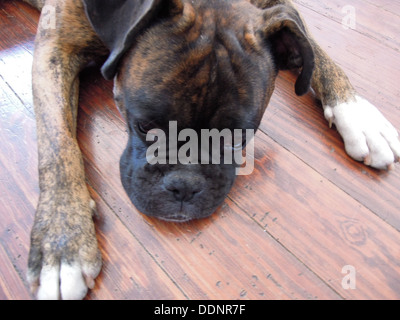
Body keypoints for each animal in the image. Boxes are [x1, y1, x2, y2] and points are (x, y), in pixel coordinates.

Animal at [21, 0, 400, 300]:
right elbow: (57, 143)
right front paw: (62, 244)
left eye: (236, 138)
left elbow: (310, 41)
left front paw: (357, 113)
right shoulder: (56, 45)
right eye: (145, 126)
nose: (184, 185)